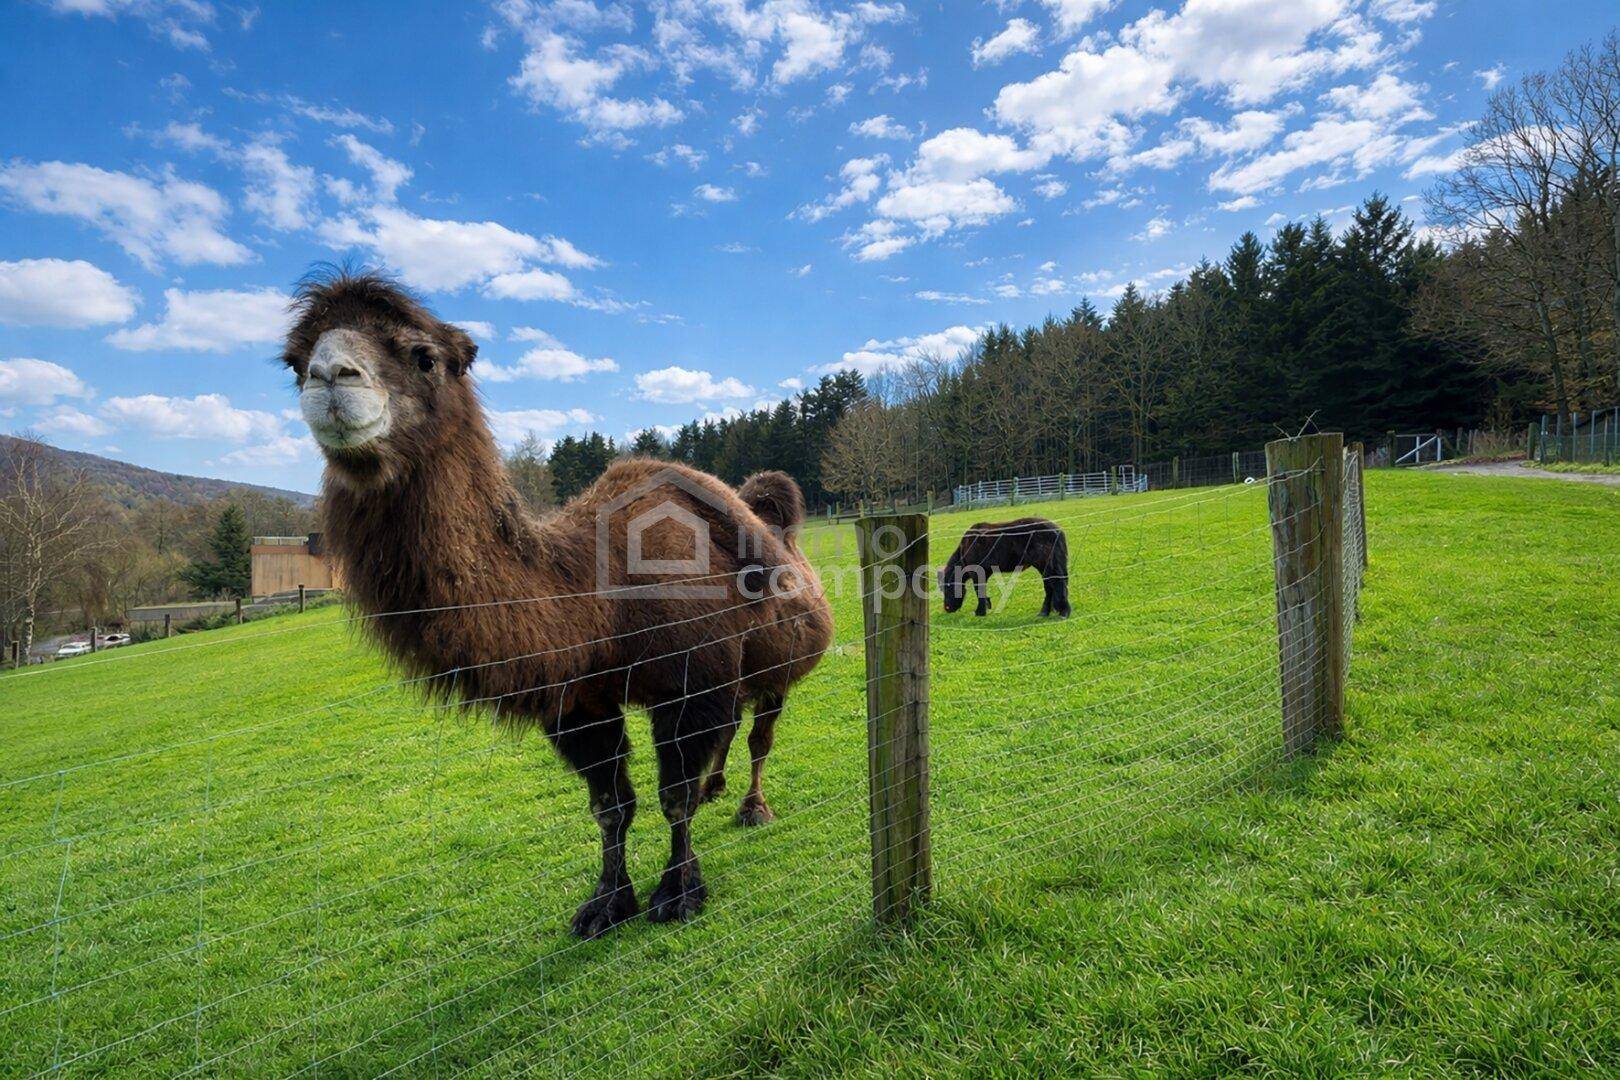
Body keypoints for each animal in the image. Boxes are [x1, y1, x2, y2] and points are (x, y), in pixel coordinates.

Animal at [282, 270, 833, 937]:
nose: (330, 377)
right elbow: (610, 806)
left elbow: (671, 798)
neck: (601, 601)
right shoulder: (580, 703)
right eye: (293, 362)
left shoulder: (687, 684)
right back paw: (717, 789)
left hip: (780, 664)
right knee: (730, 734)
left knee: (759, 736)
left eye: (423, 356)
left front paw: (679, 893)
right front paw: (607, 903)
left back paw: (753, 807)